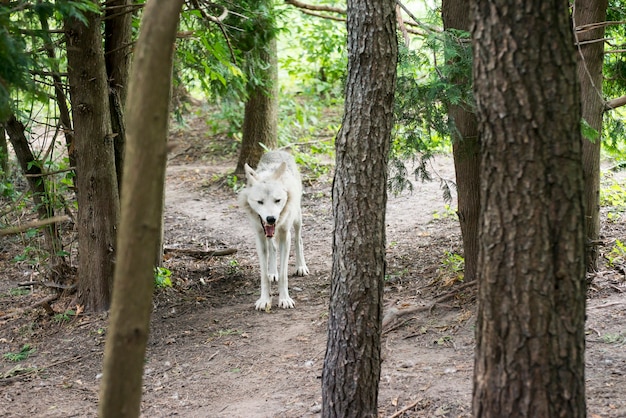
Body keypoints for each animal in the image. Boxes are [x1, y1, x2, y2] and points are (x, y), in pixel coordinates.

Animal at [238, 151, 308, 310]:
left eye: (277, 200)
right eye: (260, 202)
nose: (271, 219)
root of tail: (278, 151)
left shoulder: (285, 236)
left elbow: (283, 274)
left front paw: (285, 300)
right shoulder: (259, 236)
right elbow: (264, 275)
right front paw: (264, 300)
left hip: (297, 218)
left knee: (299, 239)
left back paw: (301, 267)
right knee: (272, 248)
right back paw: (272, 272)